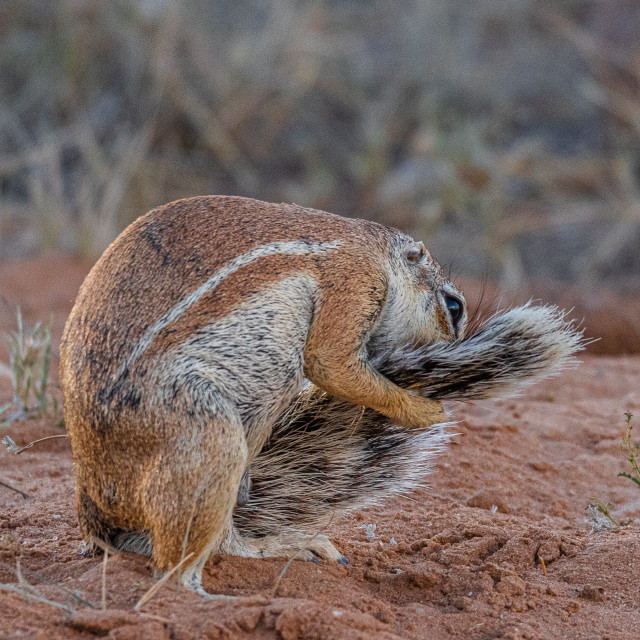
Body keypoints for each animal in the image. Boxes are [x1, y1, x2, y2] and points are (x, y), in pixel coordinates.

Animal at [61, 195, 584, 596]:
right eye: (453, 307)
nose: (452, 355)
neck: (377, 248)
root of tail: (94, 507)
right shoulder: (356, 279)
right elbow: (330, 361)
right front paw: (424, 409)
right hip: (206, 436)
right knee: (172, 567)